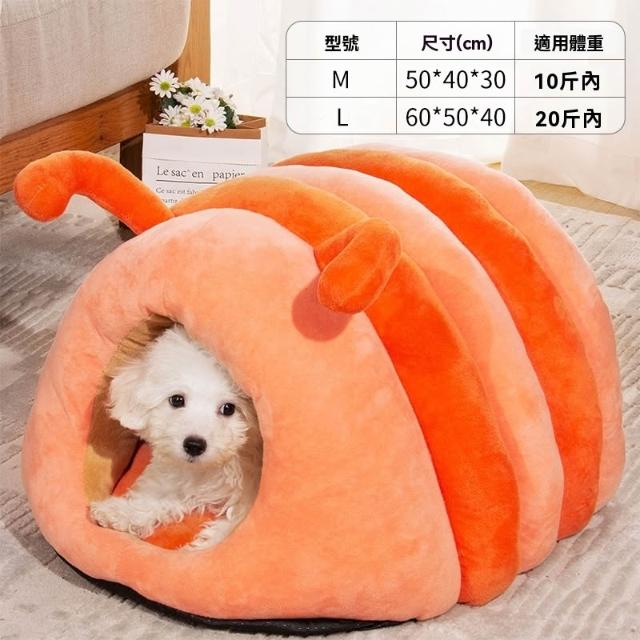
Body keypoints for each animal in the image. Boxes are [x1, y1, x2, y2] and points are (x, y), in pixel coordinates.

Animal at [89, 324, 262, 549]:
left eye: (228, 408)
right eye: (177, 400)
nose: (194, 445)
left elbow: (234, 525)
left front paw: (205, 549)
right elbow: (159, 491)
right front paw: (120, 512)